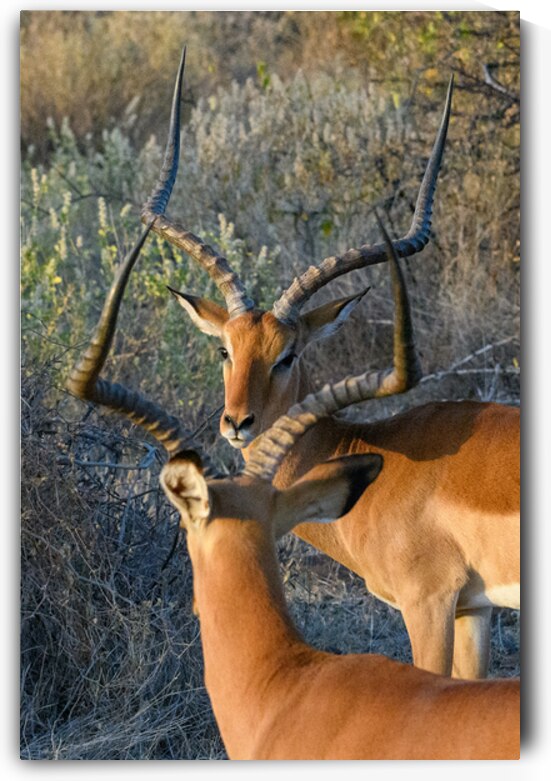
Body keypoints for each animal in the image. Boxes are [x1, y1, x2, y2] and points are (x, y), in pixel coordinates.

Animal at [139, 51, 520, 680]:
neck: (382, 458)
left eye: (288, 354)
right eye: (225, 349)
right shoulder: (475, 609)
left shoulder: (429, 602)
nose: (236, 423)